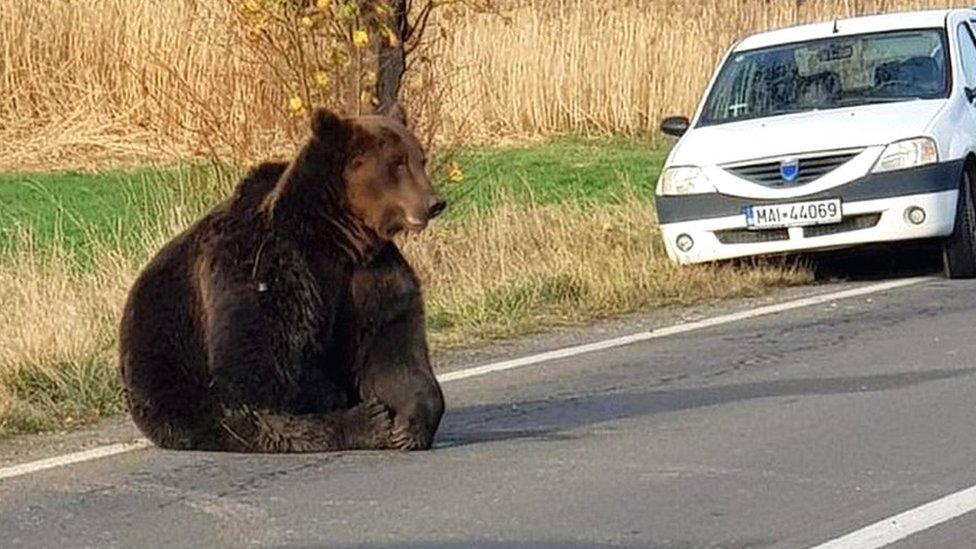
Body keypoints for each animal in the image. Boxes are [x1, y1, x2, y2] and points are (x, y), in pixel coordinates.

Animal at [117, 109, 446, 452]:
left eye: (420, 158)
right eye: (397, 162)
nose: (434, 202)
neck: (337, 238)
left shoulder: (371, 275)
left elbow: (390, 349)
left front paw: (409, 425)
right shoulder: (264, 265)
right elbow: (258, 361)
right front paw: (371, 415)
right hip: (173, 381)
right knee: (257, 420)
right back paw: (365, 422)